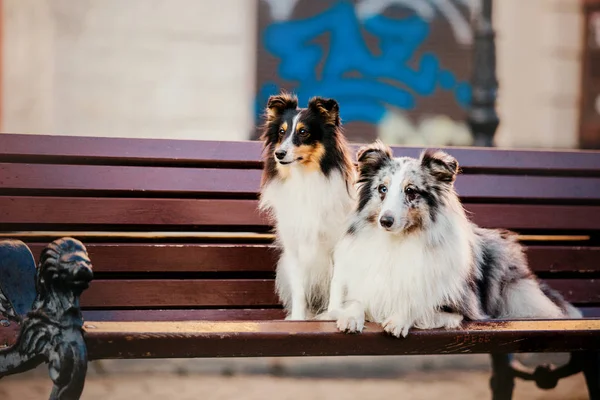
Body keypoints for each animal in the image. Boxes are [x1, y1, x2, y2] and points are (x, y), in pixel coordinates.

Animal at [258, 92, 356, 320]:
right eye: (281, 132)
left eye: (303, 132)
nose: (279, 154)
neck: (304, 178)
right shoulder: (294, 247)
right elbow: (299, 289)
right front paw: (298, 319)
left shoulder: (338, 245)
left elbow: (336, 282)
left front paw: (332, 314)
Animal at [324, 141, 580, 338]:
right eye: (382, 189)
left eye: (411, 191)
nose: (385, 221)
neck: (398, 242)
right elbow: (356, 302)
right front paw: (350, 317)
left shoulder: (458, 310)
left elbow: (418, 304)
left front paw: (399, 319)